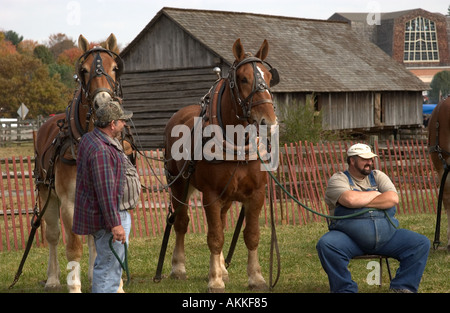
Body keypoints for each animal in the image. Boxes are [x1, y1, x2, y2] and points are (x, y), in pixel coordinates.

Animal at [33, 33, 125, 290]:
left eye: (115, 68)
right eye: (83, 70)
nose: (103, 102)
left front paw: (116, 285)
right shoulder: (69, 204)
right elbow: (73, 247)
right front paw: (73, 286)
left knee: (93, 237)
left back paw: (94, 276)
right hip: (46, 194)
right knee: (53, 236)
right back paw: (53, 279)